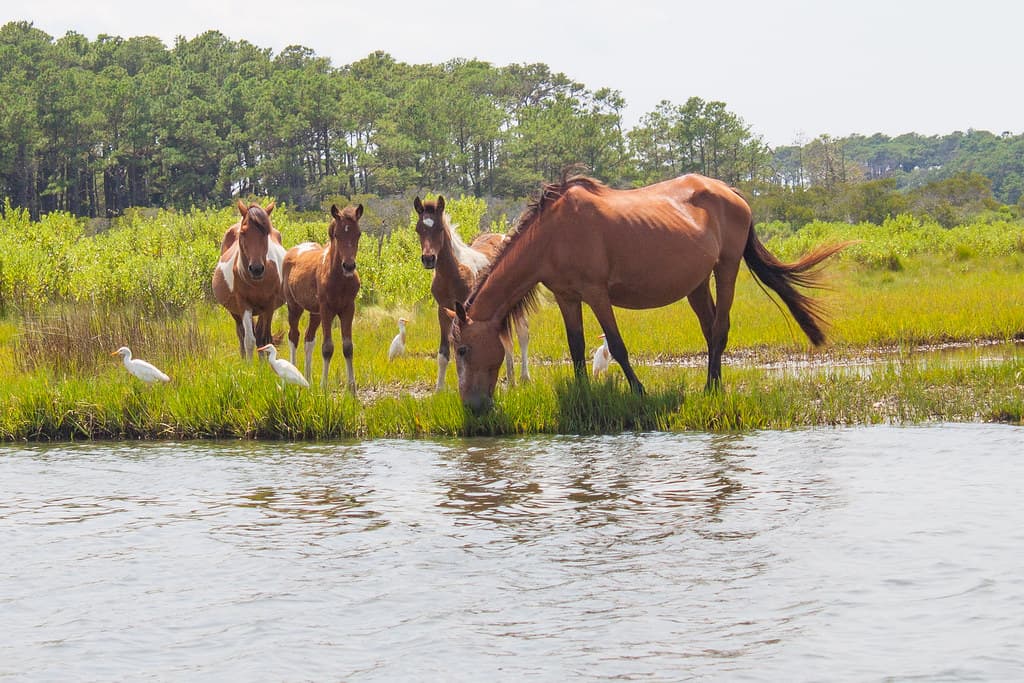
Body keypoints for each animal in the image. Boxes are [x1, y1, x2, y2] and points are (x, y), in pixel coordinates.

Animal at [212, 200, 286, 360]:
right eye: (243, 232)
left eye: (266, 232)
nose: (256, 269)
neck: (256, 281)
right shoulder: (244, 304)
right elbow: (249, 340)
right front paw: (249, 364)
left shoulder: (269, 305)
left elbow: (264, 338)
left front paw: (264, 364)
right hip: (235, 312)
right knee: (241, 333)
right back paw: (243, 358)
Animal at [282, 204, 362, 391]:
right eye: (337, 234)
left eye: (358, 234)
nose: (349, 266)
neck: (338, 278)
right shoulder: (327, 309)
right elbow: (327, 347)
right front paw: (324, 386)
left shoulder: (348, 308)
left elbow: (348, 347)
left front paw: (352, 388)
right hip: (294, 307)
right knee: (294, 336)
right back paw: (294, 376)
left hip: (315, 313)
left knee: (308, 338)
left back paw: (307, 379)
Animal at [414, 195, 530, 392]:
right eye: (418, 229)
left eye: (439, 228)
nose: (428, 259)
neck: (453, 272)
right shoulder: (443, 311)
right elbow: (443, 353)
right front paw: (438, 391)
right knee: (507, 340)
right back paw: (511, 381)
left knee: (523, 333)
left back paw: (524, 378)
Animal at [447, 172, 849, 414]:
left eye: (463, 349)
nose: (472, 406)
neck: (553, 233)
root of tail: (732, 193)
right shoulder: (567, 297)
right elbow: (576, 348)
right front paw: (582, 394)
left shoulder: (596, 293)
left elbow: (617, 345)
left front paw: (638, 392)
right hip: (696, 284)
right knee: (710, 332)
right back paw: (712, 383)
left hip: (727, 268)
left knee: (720, 329)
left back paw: (711, 389)